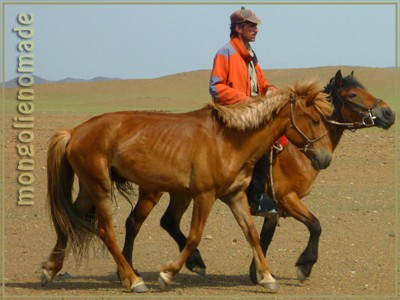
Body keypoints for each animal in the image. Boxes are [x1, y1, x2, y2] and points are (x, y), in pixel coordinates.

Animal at [41, 80, 334, 292]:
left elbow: (251, 234)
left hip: (88, 187)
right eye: (315, 119)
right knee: (106, 230)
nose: (325, 159)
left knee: (68, 221)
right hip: (101, 186)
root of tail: (74, 132)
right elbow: (194, 237)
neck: (229, 140)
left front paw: (267, 277)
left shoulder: (235, 195)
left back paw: (49, 269)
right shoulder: (204, 196)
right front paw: (167, 275)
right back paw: (133, 280)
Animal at [118, 69, 394, 286]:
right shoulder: (286, 198)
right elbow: (315, 225)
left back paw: (195, 262)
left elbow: (263, 237)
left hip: (182, 193)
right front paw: (303, 266)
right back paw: (130, 272)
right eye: (353, 95)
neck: (300, 151)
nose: (388, 114)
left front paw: (258, 273)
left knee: (168, 221)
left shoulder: (273, 208)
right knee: (133, 224)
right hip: (153, 191)